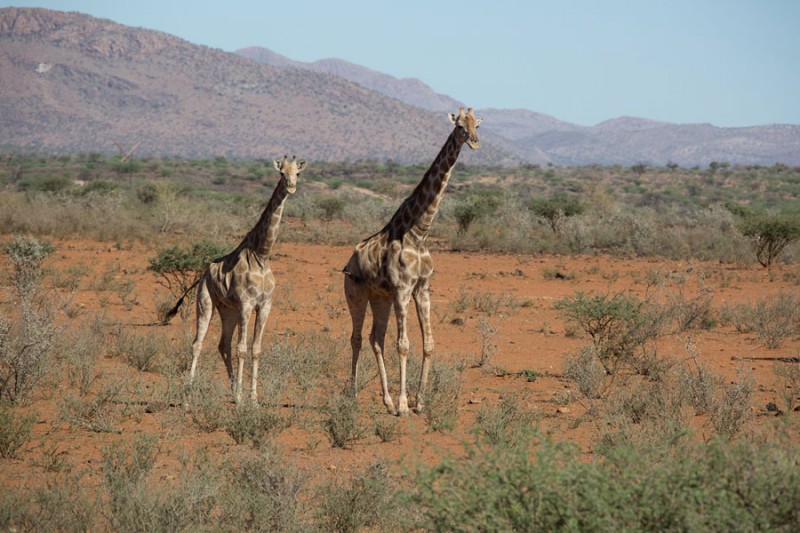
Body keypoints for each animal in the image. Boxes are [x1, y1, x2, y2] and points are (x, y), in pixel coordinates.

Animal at [188, 154, 306, 404]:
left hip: (228, 311)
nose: (291, 187)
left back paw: (233, 390)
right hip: (205, 302)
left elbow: (256, 348)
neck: (261, 255)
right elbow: (242, 348)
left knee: (223, 344)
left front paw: (252, 398)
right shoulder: (246, 304)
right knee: (198, 343)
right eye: (281, 172)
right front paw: (243, 399)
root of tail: (204, 274)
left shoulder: (265, 305)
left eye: (297, 173)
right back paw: (188, 391)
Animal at [342, 108, 482, 416]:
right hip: (355, 293)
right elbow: (404, 344)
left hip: (380, 297)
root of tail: (349, 260)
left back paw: (386, 401)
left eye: (477, 125)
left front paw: (419, 402)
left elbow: (428, 343)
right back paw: (354, 395)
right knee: (356, 337)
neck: (418, 233)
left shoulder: (422, 288)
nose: (475, 141)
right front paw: (405, 404)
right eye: (459, 125)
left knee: (375, 338)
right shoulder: (403, 289)